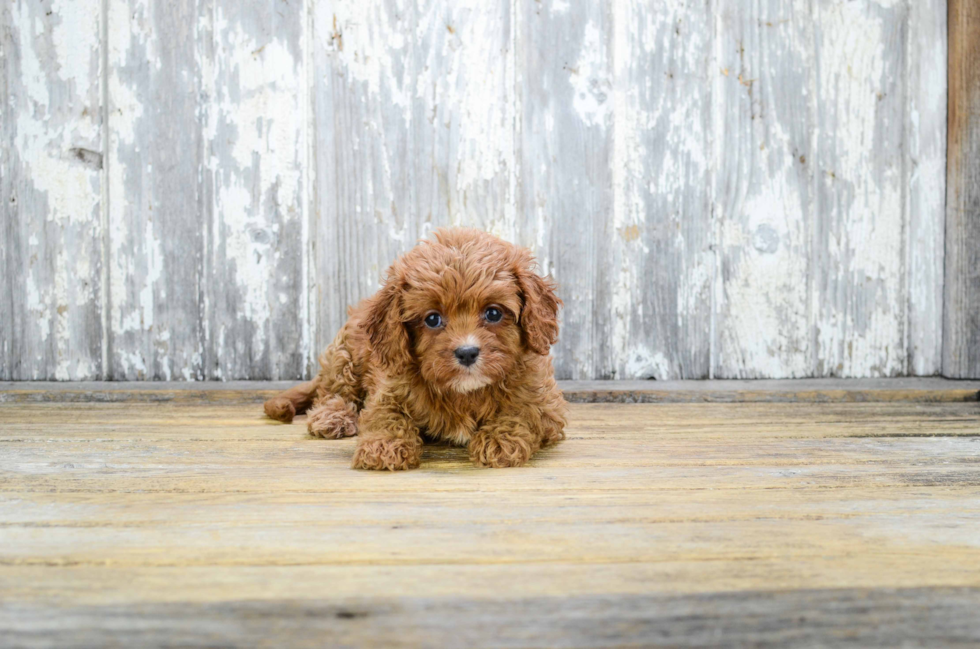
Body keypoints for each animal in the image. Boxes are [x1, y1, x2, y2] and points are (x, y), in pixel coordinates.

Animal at [262, 228, 568, 470]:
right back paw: (333, 416)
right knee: (333, 392)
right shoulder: (389, 389)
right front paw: (383, 445)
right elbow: (386, 416)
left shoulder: (546, 402)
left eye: (493, 313)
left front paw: (499, 439)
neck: (465, 392)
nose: (467, 352)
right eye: (432, 319)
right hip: (345, 355)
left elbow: (523, 411)